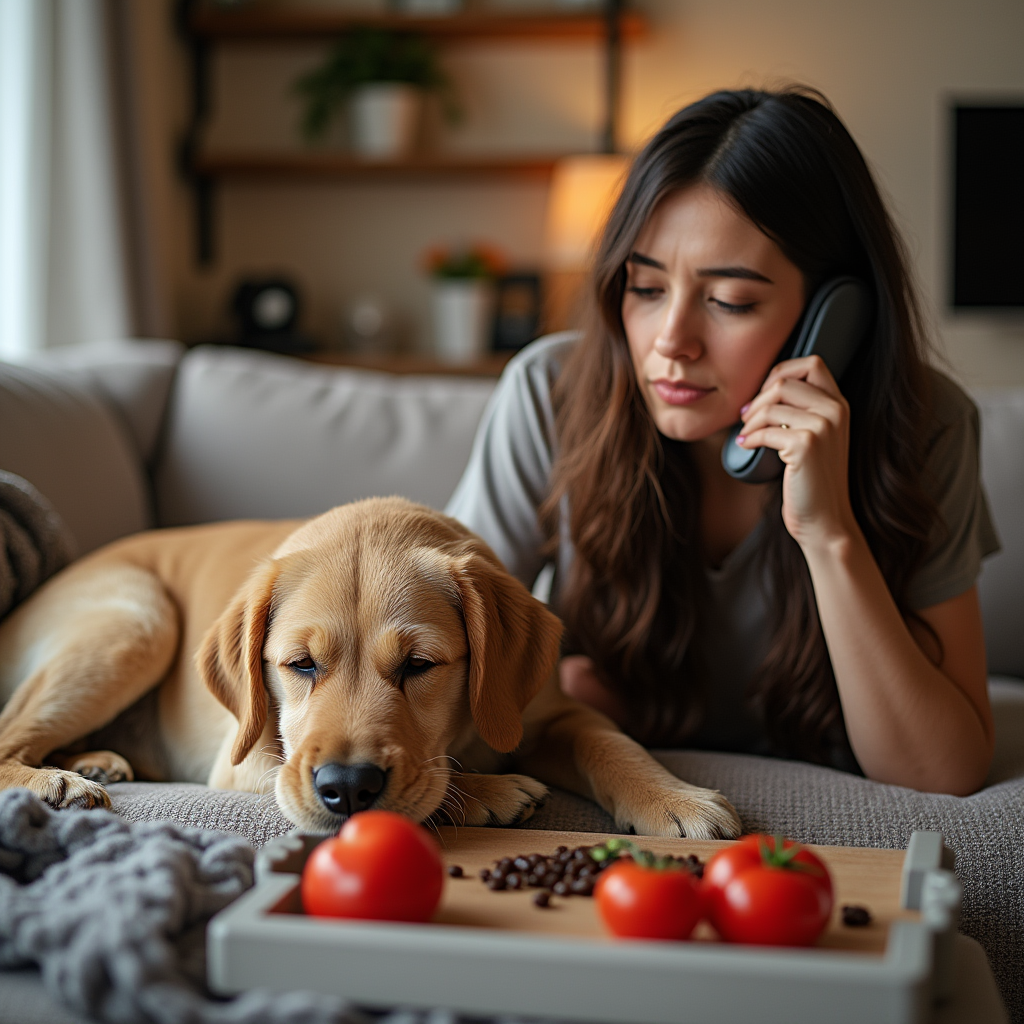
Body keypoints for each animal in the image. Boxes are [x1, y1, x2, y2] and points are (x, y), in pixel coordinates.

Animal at [0, 495, 741, 839]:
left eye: (419, 665)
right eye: (299, 665)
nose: (347, 788)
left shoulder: (546, 709)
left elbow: (609, 741)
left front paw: (673, 798)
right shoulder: (244, 759)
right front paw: (491, 790)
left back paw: (96, 760)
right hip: (138, 618)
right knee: (9, 736)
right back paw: (60, 783)